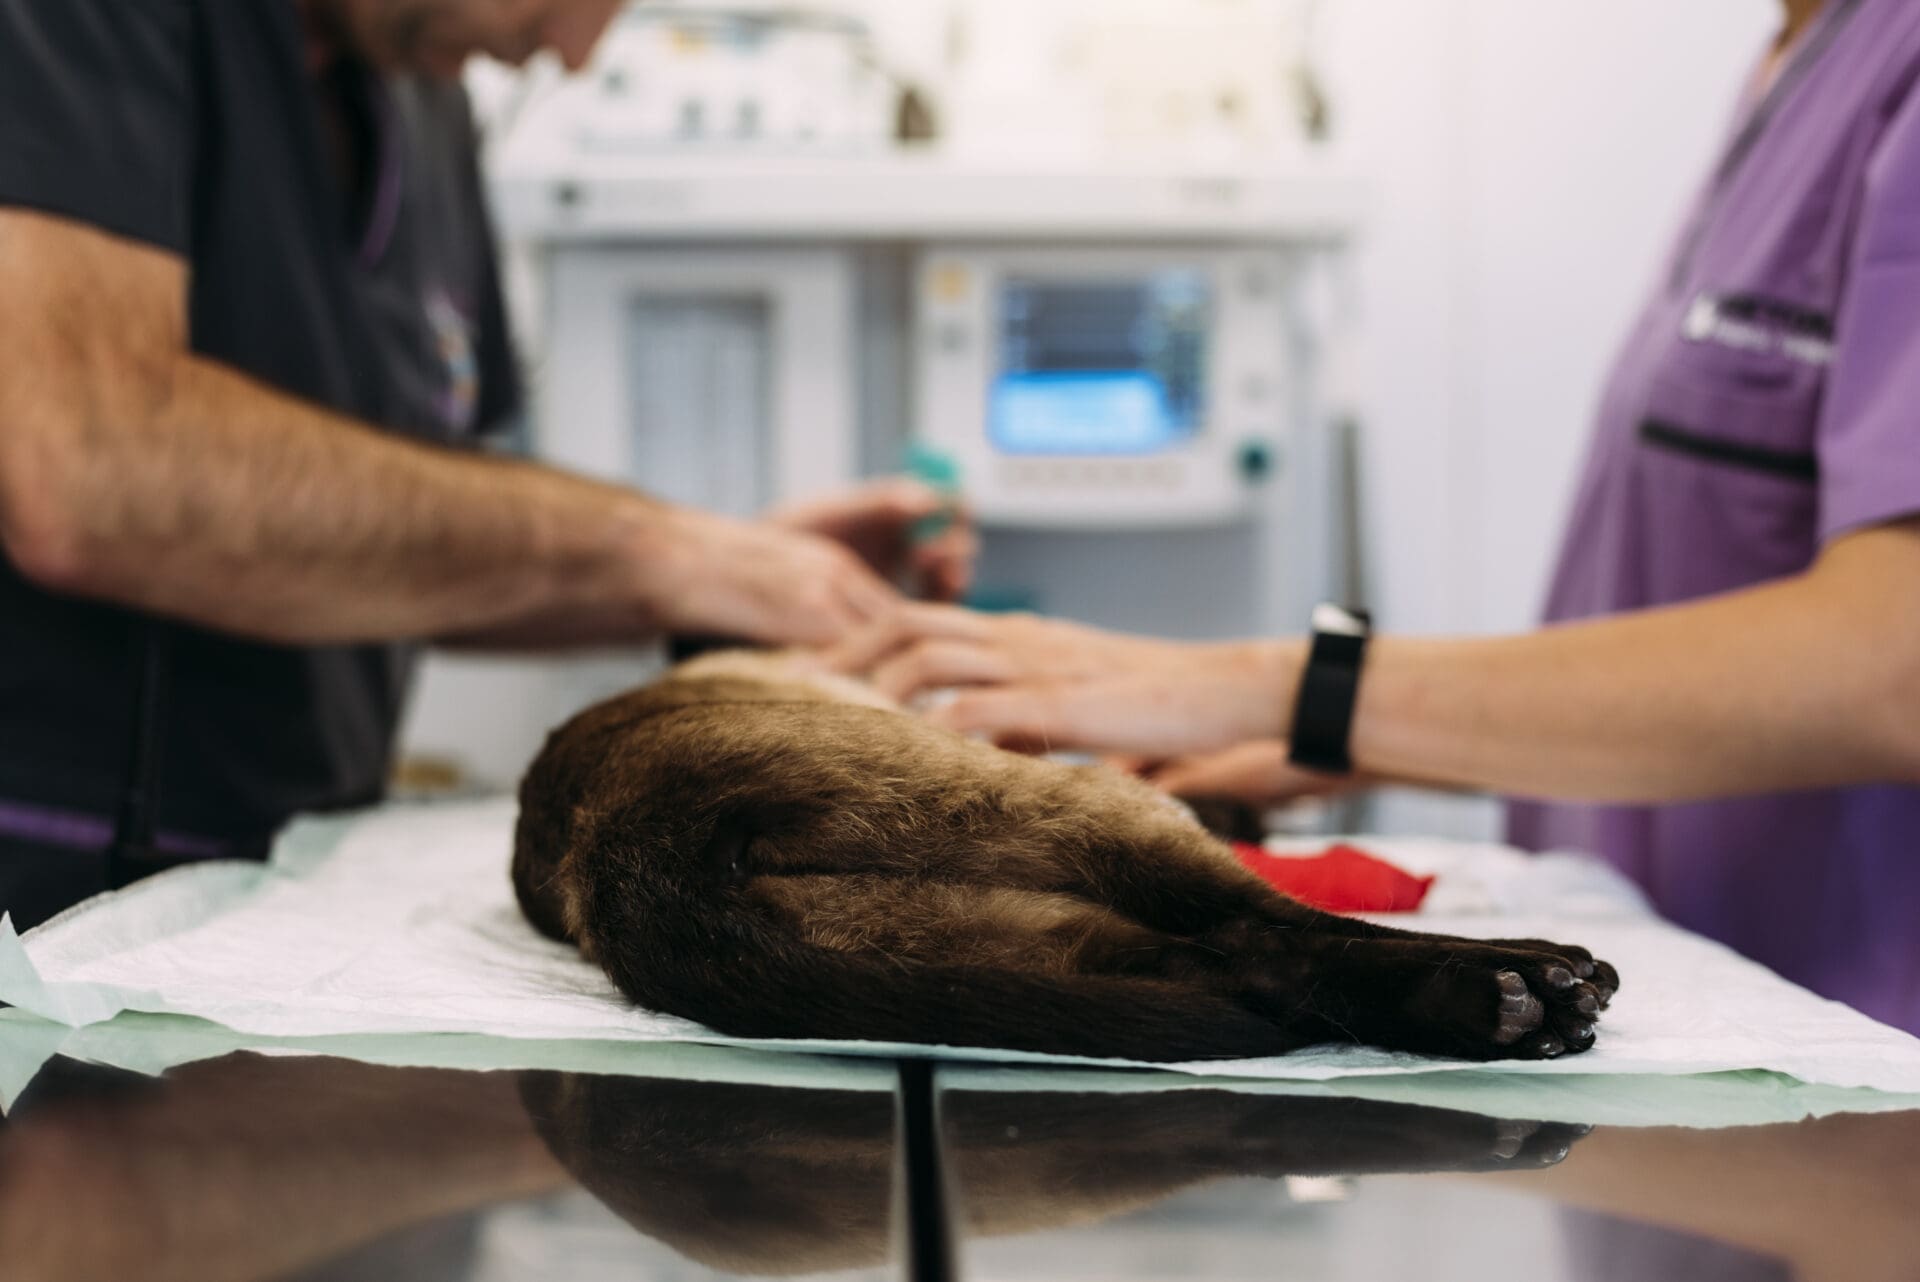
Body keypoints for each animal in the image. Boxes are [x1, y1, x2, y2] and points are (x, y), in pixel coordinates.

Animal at [503, 652, 1612, 1059]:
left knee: (1259, 966)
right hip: (1106, 818)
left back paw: (1498, 1009)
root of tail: (628, 841)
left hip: (1040, 941)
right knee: (1279, 929)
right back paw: (1534, 988)